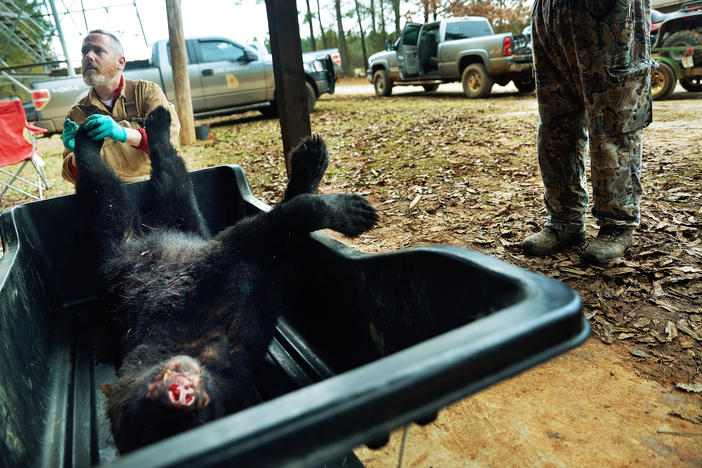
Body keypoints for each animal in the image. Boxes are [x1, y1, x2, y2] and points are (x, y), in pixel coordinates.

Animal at [74, 106, 380, 454]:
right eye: (152, 414)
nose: (182, 393)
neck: (204, 348)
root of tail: (139, 238)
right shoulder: (202, 290)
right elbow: (273, 229)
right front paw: (338, 209)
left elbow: (278, 236)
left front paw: (320, 185)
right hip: (123, 243)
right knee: (109, 196)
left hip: (185, 227)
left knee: (168, 185)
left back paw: (144, 127)